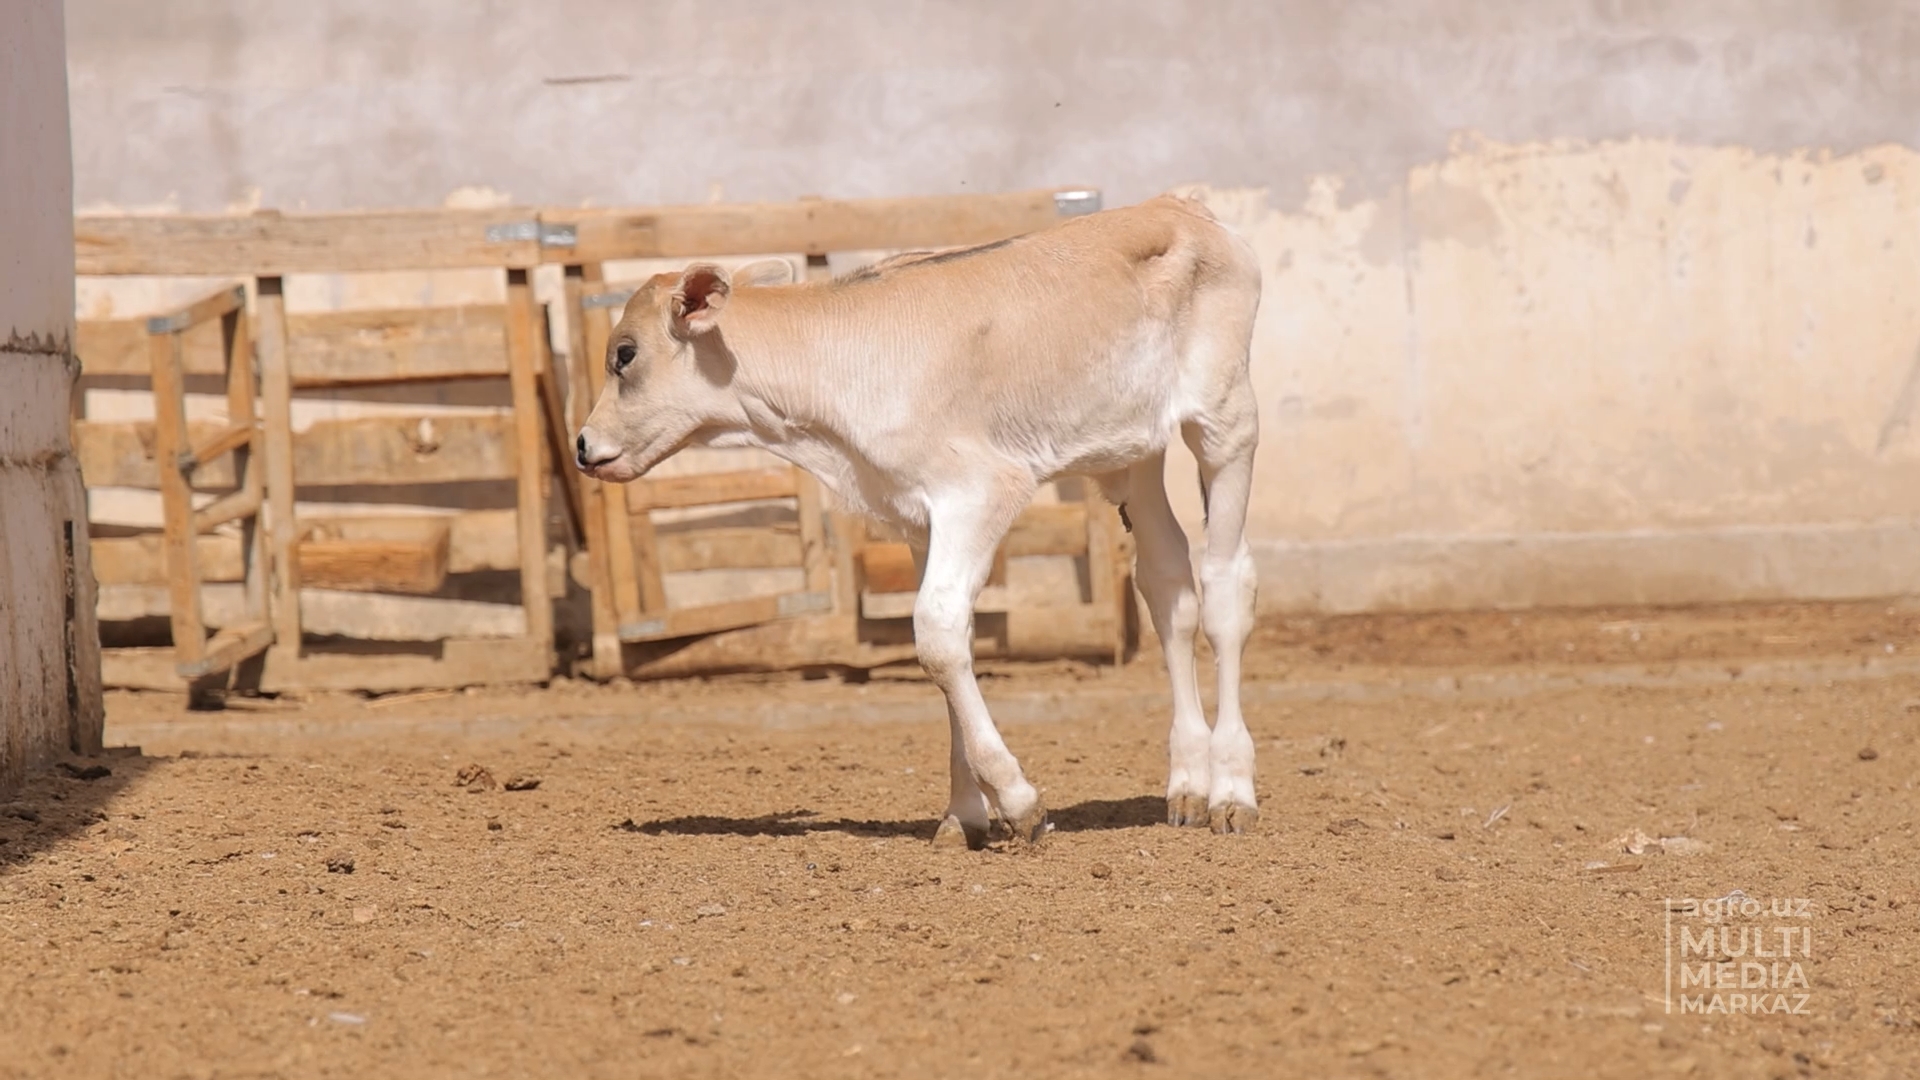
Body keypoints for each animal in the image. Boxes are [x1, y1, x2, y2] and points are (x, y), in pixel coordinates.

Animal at [568, 197, 1259, 845]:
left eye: (624, 354)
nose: (582, 444)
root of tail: (1180, 208)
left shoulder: (979, 491)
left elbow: (936, 633)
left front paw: (1018, 801)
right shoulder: (916, 516)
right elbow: (950, 639)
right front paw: (963, 816)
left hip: (1225, 422)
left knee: (1225, 587)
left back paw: (1231, 792)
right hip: (1135, 452)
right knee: (1168, 587)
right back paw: (1187, 787)